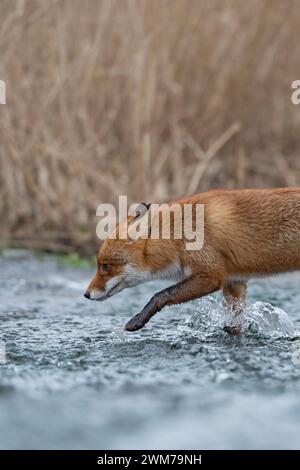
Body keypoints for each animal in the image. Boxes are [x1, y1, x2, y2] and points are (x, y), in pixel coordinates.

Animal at [84, 187, 300, 334]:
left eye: (105, 266)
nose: (86, 294)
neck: (178, 235)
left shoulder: (212, 276)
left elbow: (161, 294)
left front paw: (137, 320)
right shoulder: (234, 282)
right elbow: (235, 324)